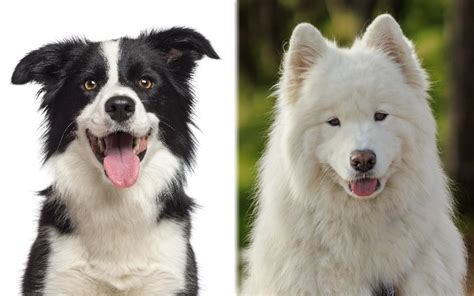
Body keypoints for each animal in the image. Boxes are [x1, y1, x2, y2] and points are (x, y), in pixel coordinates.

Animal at [11, 27, 218, 294]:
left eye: (145, 82)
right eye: (89, 84)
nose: (120, 106)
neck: (118, 199)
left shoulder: (169, 275)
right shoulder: (56, 273)